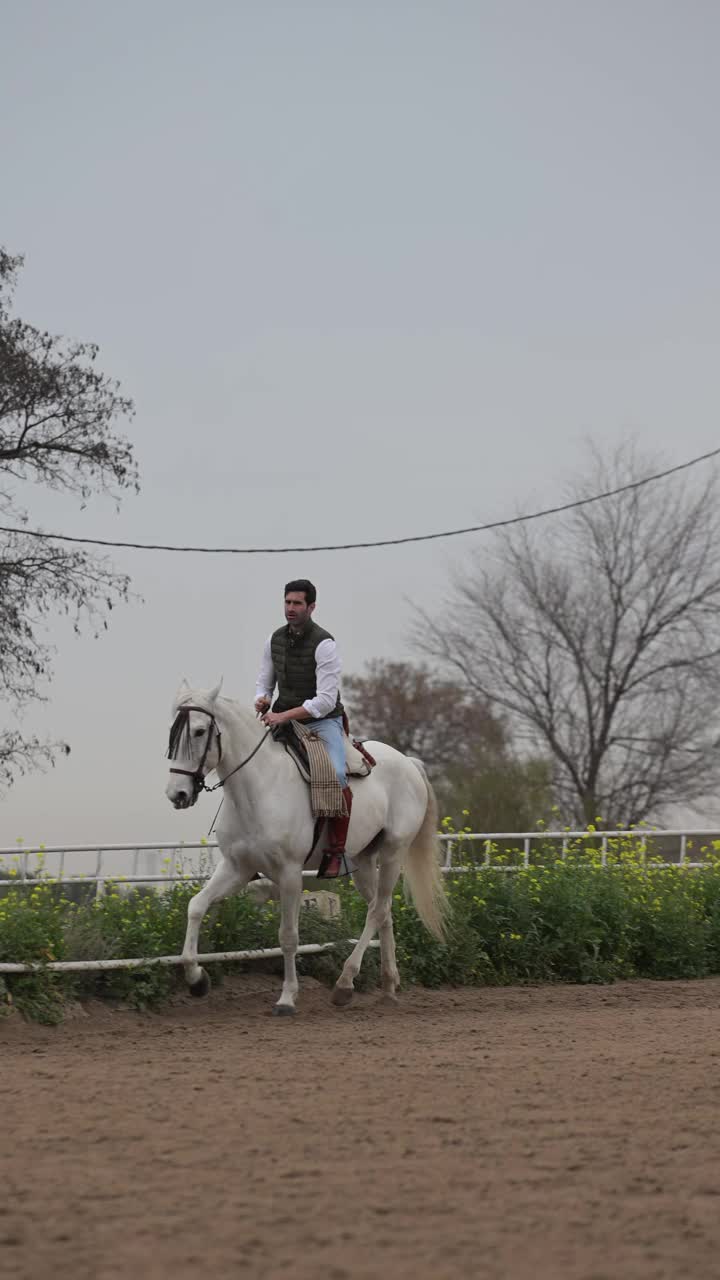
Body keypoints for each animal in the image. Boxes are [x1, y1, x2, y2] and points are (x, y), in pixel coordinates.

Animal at [163, 675, 445, 1013]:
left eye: (199, 731)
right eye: (173, 732)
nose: (177, 794)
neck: (260, 787)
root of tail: (408, 763)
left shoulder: (289, 874)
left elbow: (288, 936)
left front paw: (287, 998)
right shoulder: (236, 868)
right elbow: (196, 906)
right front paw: (197, 980)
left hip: (393, 853)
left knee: (377, 911)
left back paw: (344, 984)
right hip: (364, 861)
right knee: (383, 910)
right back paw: (388, 986)